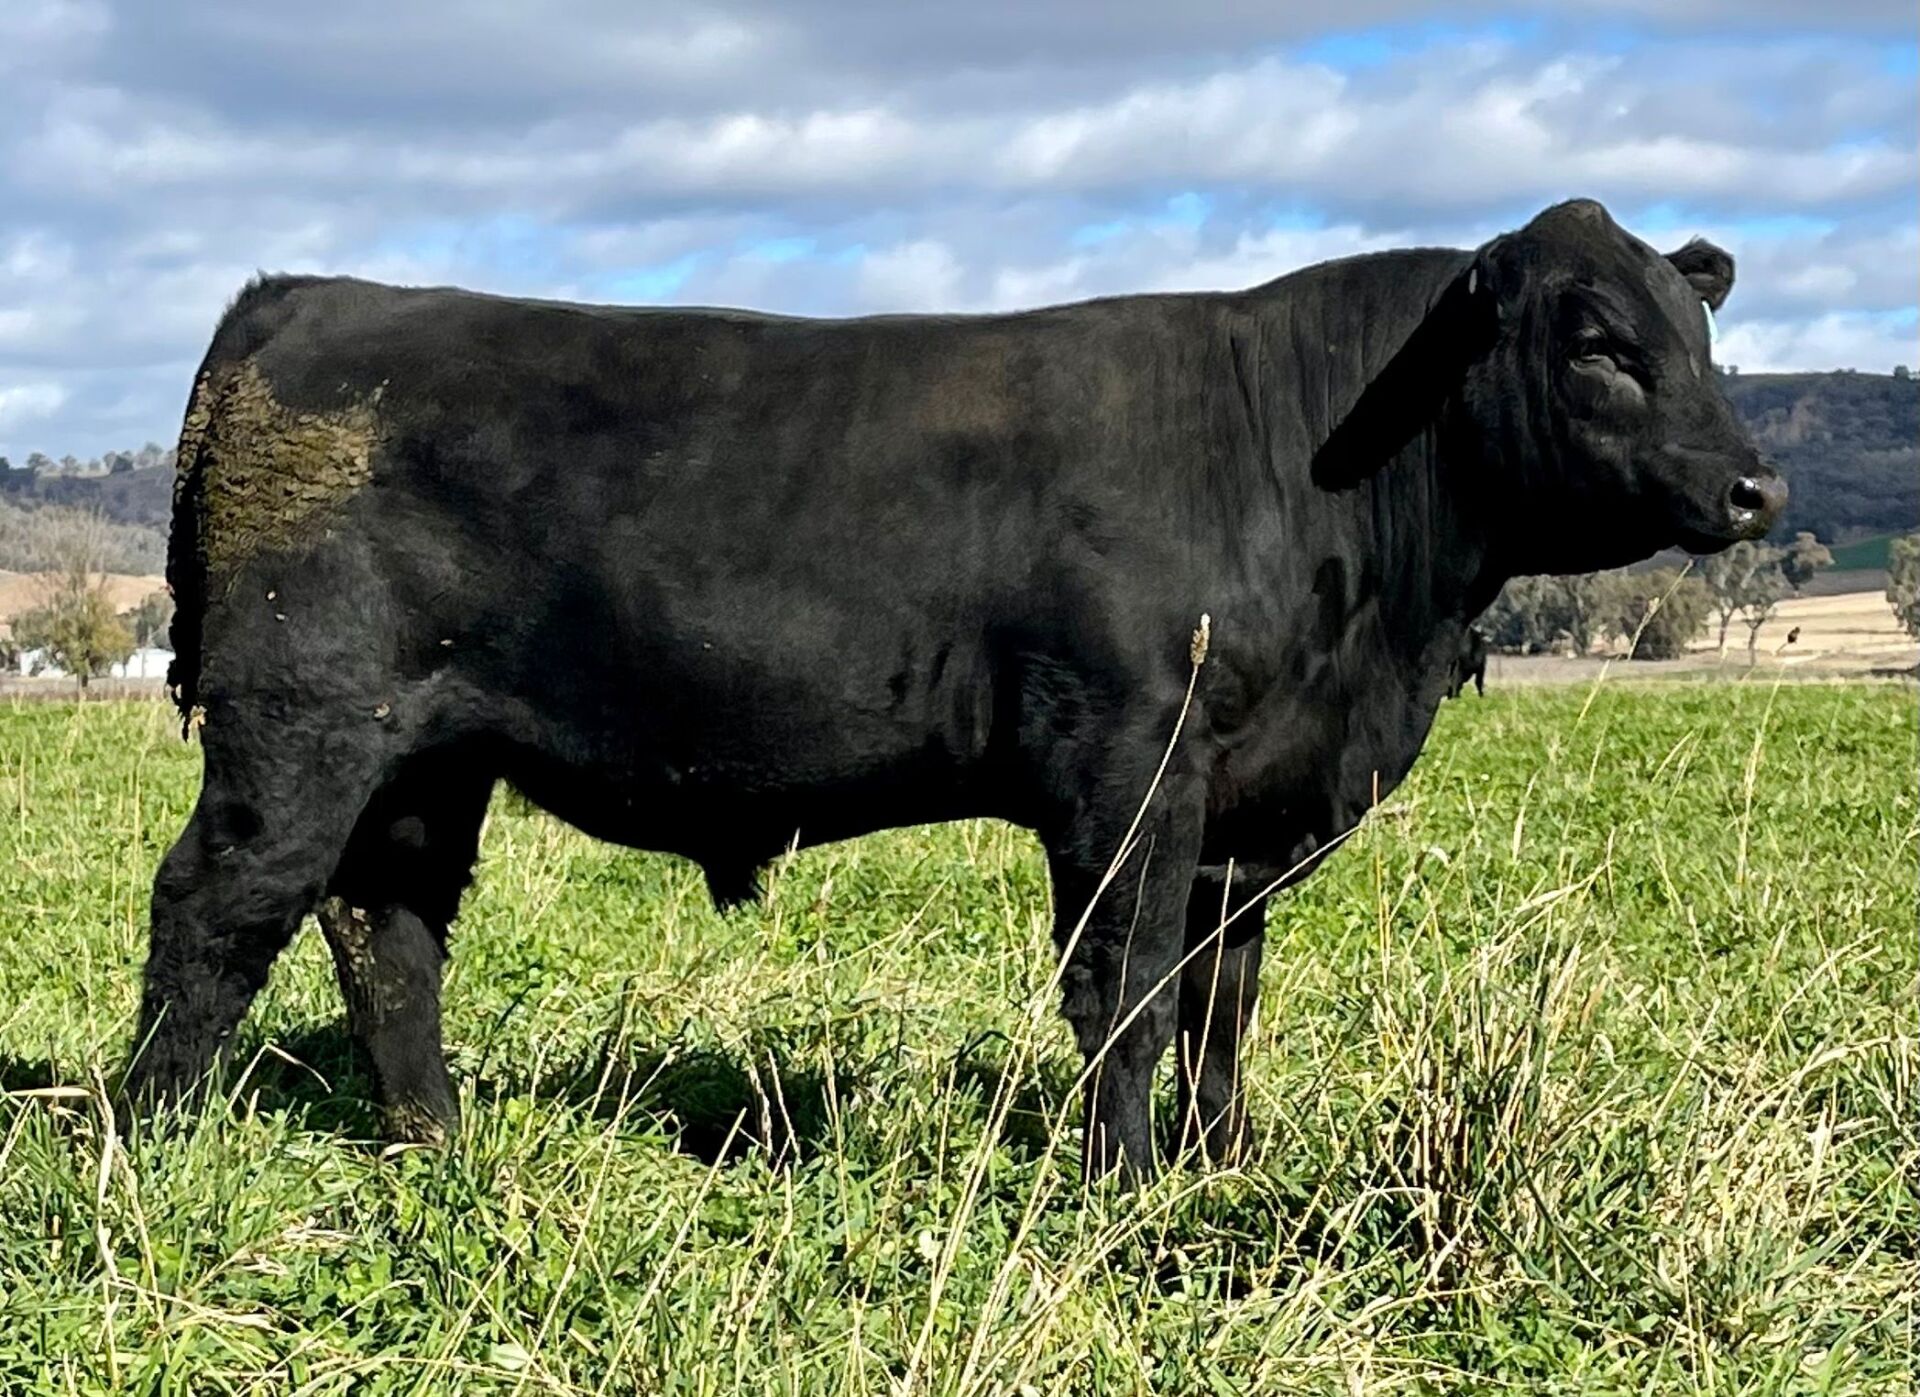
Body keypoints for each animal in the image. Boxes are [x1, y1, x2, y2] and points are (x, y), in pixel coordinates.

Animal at [120, 198, 1784, 1180]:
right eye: (1596, 342)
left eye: (1704, 332)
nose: (1753, 487)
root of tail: (302, 296)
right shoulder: (1128, 767)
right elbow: (1127, 988)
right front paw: (1128, 1193)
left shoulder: (1244, 809)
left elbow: (1223, 995)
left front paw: (1225, 1171)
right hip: (300, 723)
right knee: (218, 908)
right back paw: (142, 1152)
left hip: (423, 754)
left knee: (383, 927)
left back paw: (439, 1150)